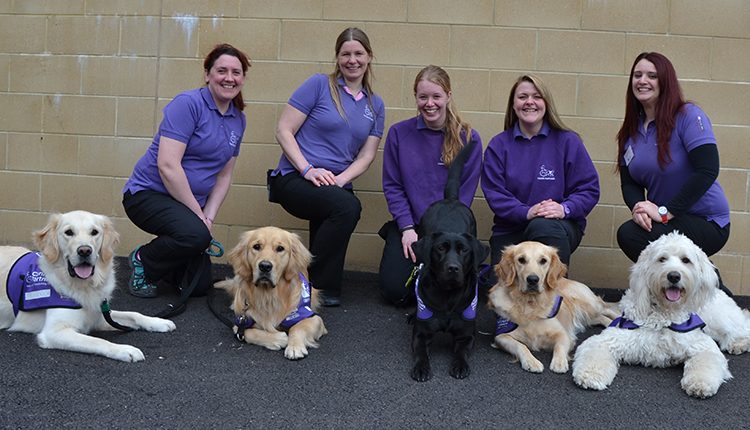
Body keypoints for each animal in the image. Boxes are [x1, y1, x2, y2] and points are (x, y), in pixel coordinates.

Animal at [0, 212, 176, 362]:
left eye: (94, 232)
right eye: (69, 232)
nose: (84, 250)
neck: (84, 286)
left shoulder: (99, 314)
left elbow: (133, 314)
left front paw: (157, 322)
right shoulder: (54, 332)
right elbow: (97, 341)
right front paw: (125, 350)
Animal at [214, 227, 326, 362]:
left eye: (280, 248)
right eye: (256, 246)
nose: (265, 266)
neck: (269, 296)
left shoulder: (314, 318)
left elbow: (297, 327)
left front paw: (295, 347)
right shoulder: (240, 324)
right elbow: (250, 333)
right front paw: (279, 338)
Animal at [490, 242, 620, 372]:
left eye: (543, 260)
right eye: (521, 260)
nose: (533, 280)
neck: (530, 304)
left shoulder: (562, 333)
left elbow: (559, 346)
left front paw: (559, 362)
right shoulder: (501, 336)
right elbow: (520, 346)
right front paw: (531, 361)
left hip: (587, 304)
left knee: (606, 309)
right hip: (585, 316)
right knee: (601, 317)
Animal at [576, 232, 736, 400]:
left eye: (686, 260)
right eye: (662, 259)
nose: (674, 276)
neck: (663, 315)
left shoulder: (702, 346)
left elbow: (706, 362)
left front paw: (700, 384)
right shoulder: (610, 338)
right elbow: (594, 352)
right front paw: (591, 375)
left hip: (718, 319)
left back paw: (738, 343)